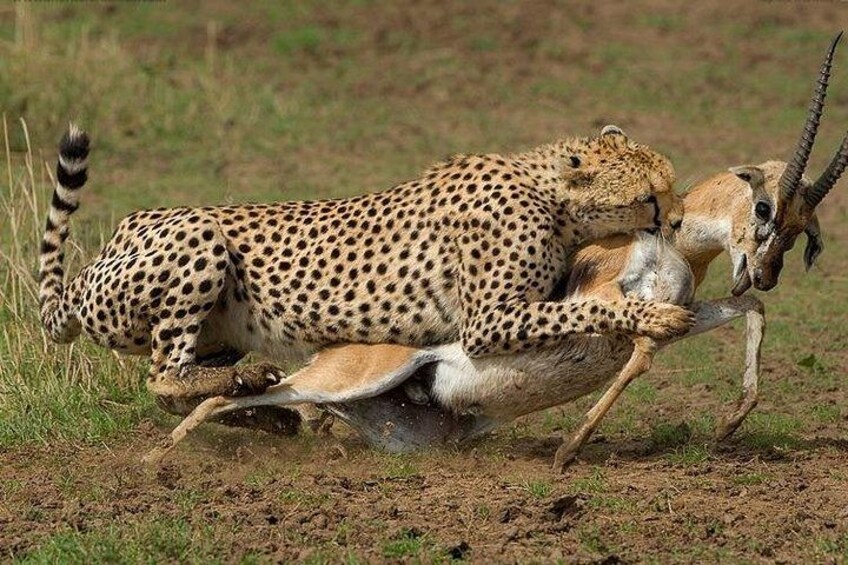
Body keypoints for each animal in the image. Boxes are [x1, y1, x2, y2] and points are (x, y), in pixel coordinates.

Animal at [39, 123, 693, 412]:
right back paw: (239, 384)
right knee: (161, 374)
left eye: (671, 186)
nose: (680, 221)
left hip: (216, 325)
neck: (548, 193)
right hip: (196, 234)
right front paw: (653, 316)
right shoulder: (485, 322)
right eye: (651, 198)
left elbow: (579, 301)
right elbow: (588, 308)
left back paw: (245, 393)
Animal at [144, 33, 847, 470]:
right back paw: (155, 460)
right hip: (337, 377)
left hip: (396, 424)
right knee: (222, 393)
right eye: (765, 209)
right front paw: (568, 452)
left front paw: (731, 424)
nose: (768, 269)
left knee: (277, 406)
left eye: (805, 233)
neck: (676, 245)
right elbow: (636, 345)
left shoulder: (694, 310)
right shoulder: (615, 305)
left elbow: (750, 314)